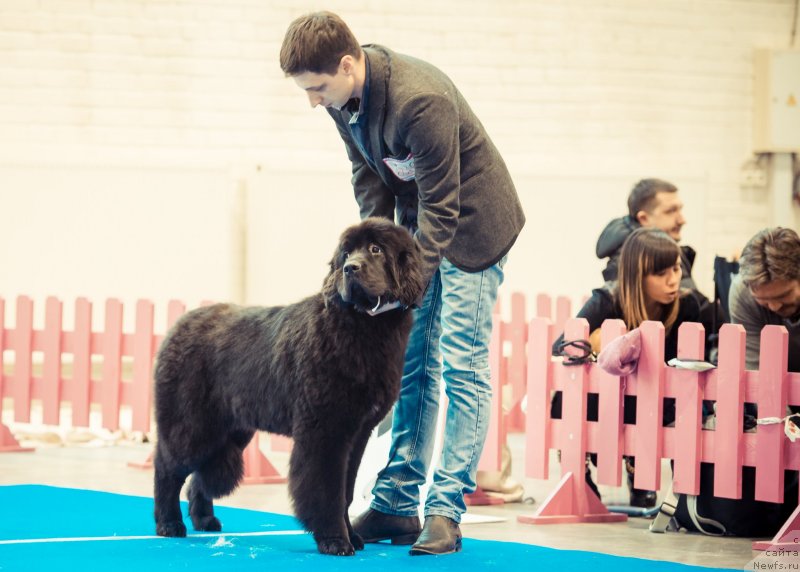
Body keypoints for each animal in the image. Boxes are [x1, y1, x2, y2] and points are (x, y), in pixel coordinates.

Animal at [151, 218, 424, 556]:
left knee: (199, 476)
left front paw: (352, 536)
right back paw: (169, 524)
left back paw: (204, 520)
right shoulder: (325, 430)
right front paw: (335, 540)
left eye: (376, 249)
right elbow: (328, 490)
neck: (362, 327)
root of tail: (178, 325)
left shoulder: (357, 432)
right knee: (167, 468)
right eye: (346, 253)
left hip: (231, 430)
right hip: (191, 424)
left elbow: (345, 491)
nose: (351, 268)